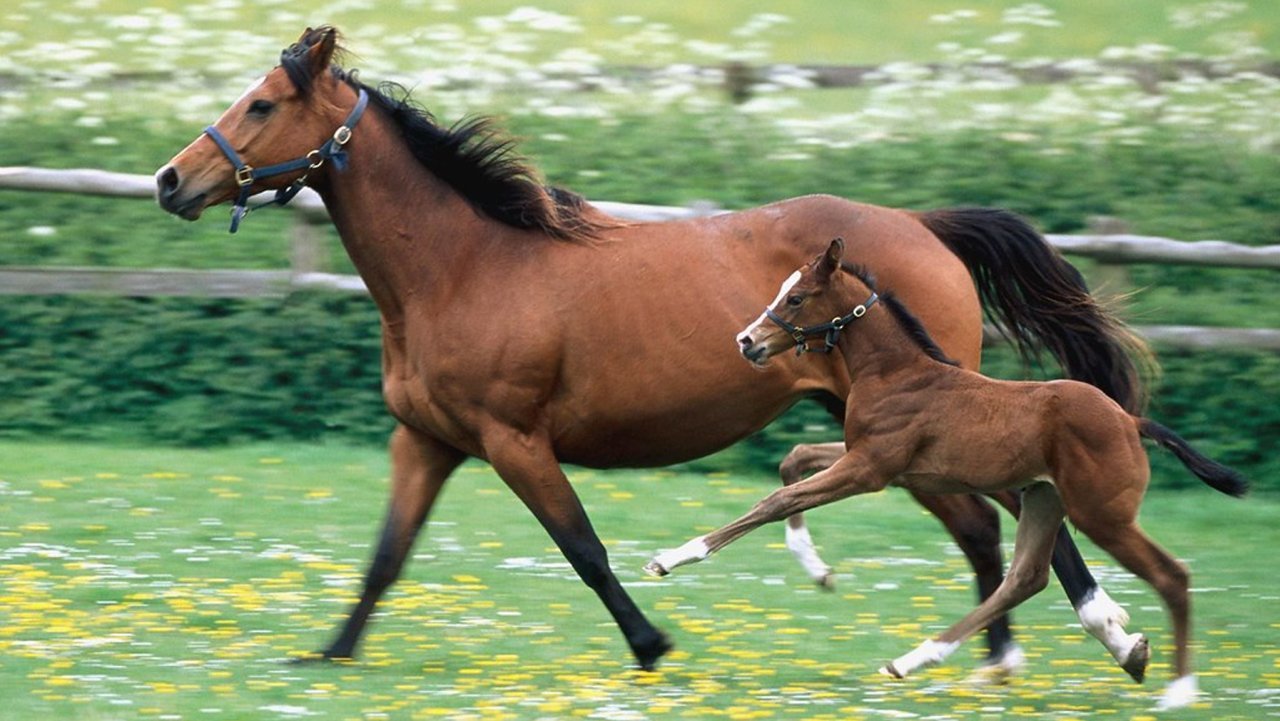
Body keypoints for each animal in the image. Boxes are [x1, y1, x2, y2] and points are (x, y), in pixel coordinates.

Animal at [154, 26, 1154, 676]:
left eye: (262, 103)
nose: (170, 181)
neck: (464, 266)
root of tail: (923, 224)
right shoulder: (427, 440)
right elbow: (386, 556)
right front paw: (327, 653)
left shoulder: (514, 439)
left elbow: (584, 548)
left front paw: (652, 643)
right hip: (886, 428)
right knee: (990, 526)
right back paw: (1007, 655)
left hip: (923, 422)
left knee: (1011, 522)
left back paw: (1089, 637)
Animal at [645, 238, 1247, 709]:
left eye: (795, 297)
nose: (747, 341)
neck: (897, 371)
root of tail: (1129, 419)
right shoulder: (875, 461)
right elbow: (793, 462)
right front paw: (815, 566)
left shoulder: (869, 469)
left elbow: (775, 501)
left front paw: (670, 558)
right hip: (1044, 499)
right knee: (1024, 578)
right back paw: (914, 660)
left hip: (1102, 514)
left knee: (1171, 575)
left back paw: (1179, 691)